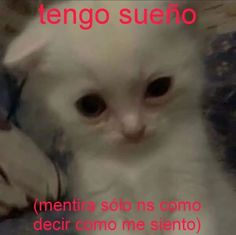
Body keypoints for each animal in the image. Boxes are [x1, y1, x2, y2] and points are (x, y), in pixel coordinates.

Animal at [2, 0, 236, 234]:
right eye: (90, 105)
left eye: (159, 87)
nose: (133, 130)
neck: (138, 160)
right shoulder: (103, 201)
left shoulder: (192, 186)